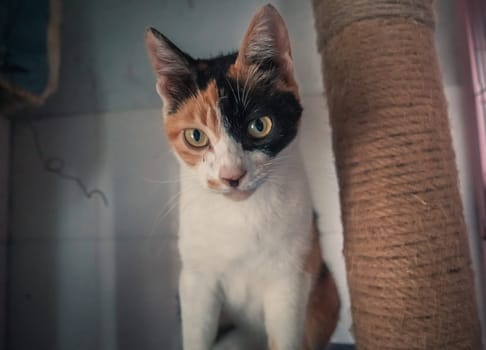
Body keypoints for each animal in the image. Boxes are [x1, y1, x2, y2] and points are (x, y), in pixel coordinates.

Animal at [146, 4, 340, 350]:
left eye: (259, 126)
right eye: (196, 136)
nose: (231, 176)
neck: (239, 216)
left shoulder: (291, 277)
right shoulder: (195, 278)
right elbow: (197, 333)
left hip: (325, 290)